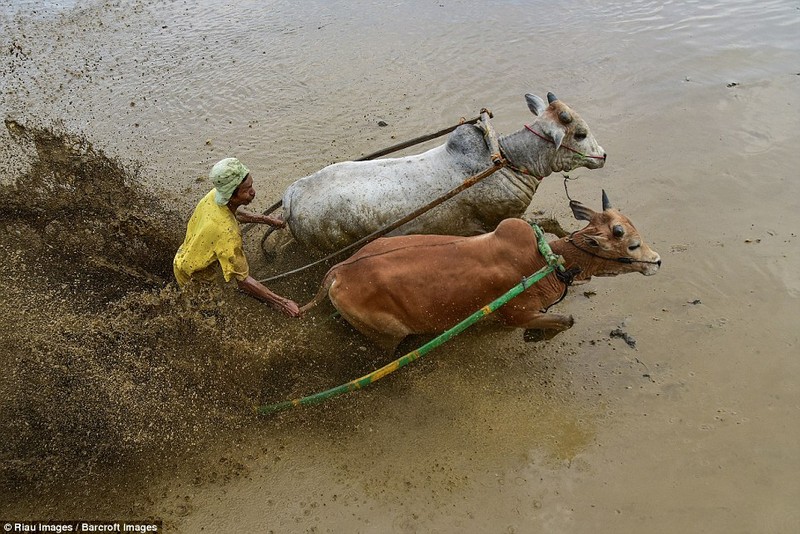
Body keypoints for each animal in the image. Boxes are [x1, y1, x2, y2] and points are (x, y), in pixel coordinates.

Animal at [284, 93, 604, 254]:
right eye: (580, 133)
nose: (602, 155)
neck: (507, 158)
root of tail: (291, 196)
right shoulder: (503, 218)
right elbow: (547, 223)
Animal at [304, 193, 660, 352]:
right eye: (632, 245)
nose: (656, 261)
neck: (546, 261)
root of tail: (337, 272)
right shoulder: (516, 314)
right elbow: (566, 320)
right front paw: (535, 335)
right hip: (387, 335)